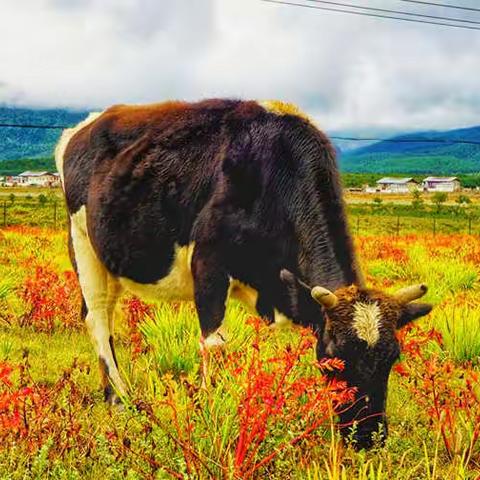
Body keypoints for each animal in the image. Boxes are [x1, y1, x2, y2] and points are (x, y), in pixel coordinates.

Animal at [55, 99, 432, 452]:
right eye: (332, 359)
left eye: (392, 358)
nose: (368, 437)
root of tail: (85, 126)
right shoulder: (208, 263)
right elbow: (214, 344)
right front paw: (208, 417)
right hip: (82, 242)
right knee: (97, 317)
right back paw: (120, 400)